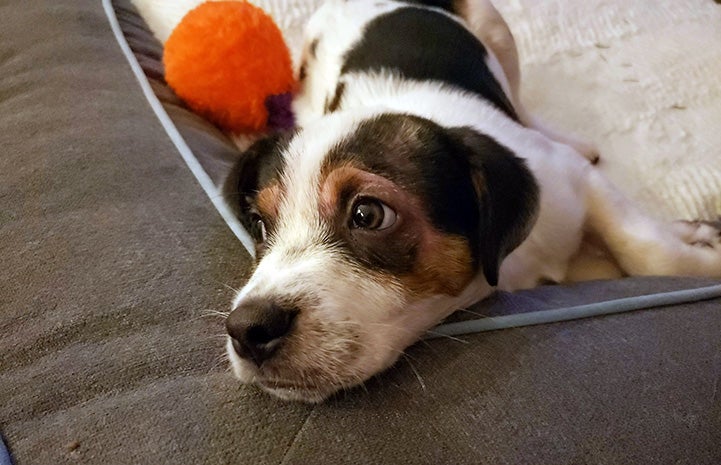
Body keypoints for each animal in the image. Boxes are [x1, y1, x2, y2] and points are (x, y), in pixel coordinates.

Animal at [221, 0, 720, 400]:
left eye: (368, 213)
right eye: (259, 223)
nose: (247, 329)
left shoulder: (574, 179)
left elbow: (649, 251)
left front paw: (703, 254)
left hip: (496, 30)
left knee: (522, 102)